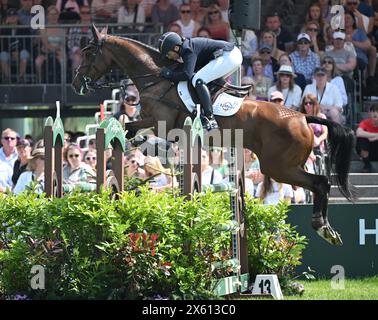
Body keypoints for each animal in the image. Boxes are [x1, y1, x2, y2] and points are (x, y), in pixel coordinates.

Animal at [71, 25, 358, 245]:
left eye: (88, 53)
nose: (75, 84)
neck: (157, 79)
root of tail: (302, 117)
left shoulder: (163, 122)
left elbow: (149, 133)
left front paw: (151, 149)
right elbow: (130, 128)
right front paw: (139, 146)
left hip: (278, 166)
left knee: (320, 183)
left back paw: (322, 227)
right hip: (285, 165)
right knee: (321, 183)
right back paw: (328, 229)